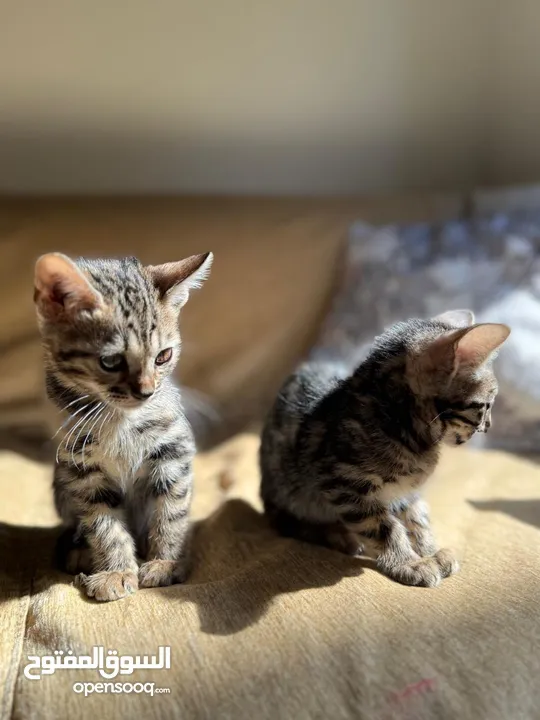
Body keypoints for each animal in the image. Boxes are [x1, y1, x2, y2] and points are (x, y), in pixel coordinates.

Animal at [33, 250, 213, 600]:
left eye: (163, 356)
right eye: (111, 361)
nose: (147, 391)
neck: (120, 420)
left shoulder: (173, 452)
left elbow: (171, 512)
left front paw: (165, 562)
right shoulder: (80, 469)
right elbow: (104, 525)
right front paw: (116, 571)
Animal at [260, 312, 510, 588]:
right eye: (487, 405)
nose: (489, 426)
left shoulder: (406, 492)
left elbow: (418, 518)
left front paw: (429, 551)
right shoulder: (343, 483)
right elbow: (384, 527)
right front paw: (409, 562)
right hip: (287, 491)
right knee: (288, 522)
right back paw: (338, 535)